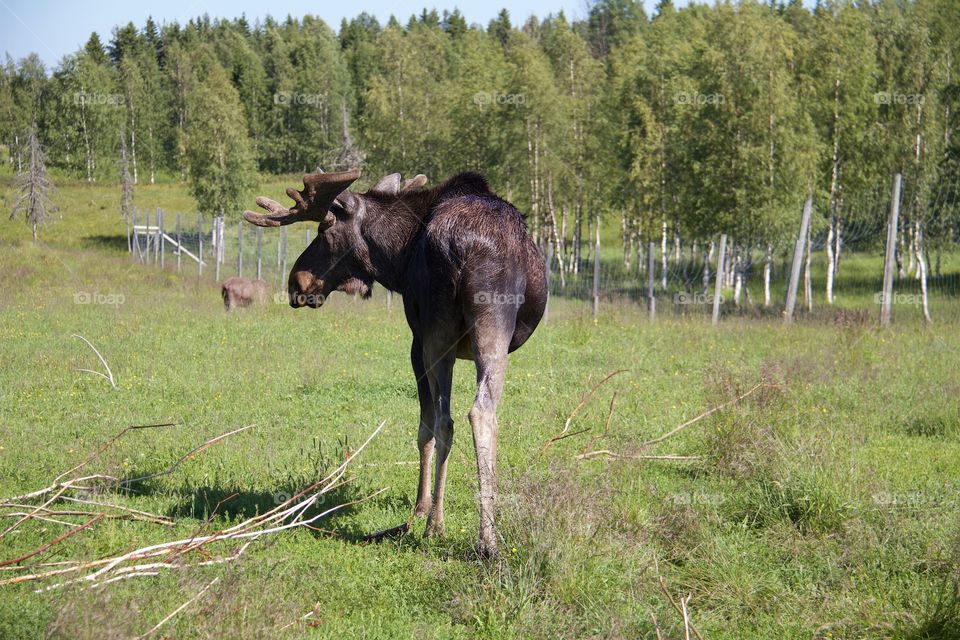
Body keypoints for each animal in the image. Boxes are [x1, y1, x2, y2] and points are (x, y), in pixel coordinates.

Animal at [242, 168, 547, 557]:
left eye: (324, 229)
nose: (296, 282)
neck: (398, 260)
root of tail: (465, 245)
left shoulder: (416, 341)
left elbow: (424, 428)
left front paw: (420, 509)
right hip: (491, 322)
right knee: (481, 413)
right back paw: (486, 539)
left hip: (438, 331)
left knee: (447, 420)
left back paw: (435, 524)